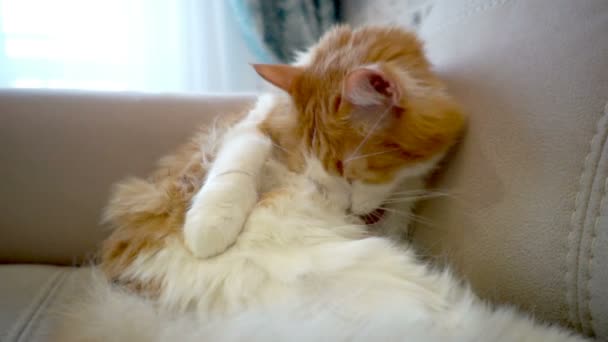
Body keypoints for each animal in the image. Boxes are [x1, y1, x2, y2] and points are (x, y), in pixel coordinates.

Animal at [54, 25, 588, 340]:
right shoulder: (254, 126)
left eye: (348, 171)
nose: (341, 208)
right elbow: (236, 166)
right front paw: (210, 225)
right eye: (315, 169)